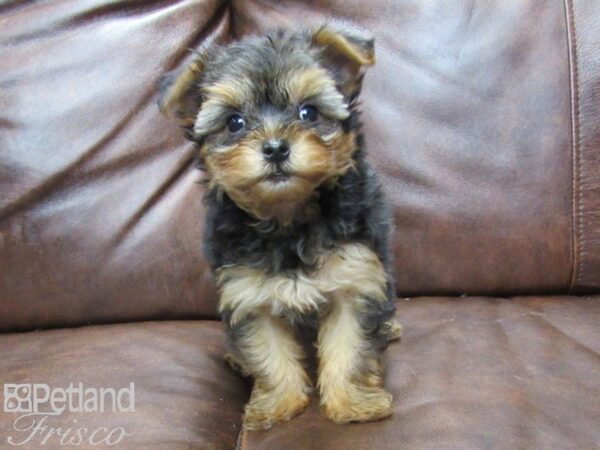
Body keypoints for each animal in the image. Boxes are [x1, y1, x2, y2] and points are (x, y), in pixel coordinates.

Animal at [159, 25, 404, 428]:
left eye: (308, 111)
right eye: (234, 122)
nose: (275, 148)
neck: (288, 218)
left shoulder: (355, 276)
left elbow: (350, 344)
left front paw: (351, 404)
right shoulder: (247, 290)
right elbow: (268, 348)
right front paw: (281, 404)